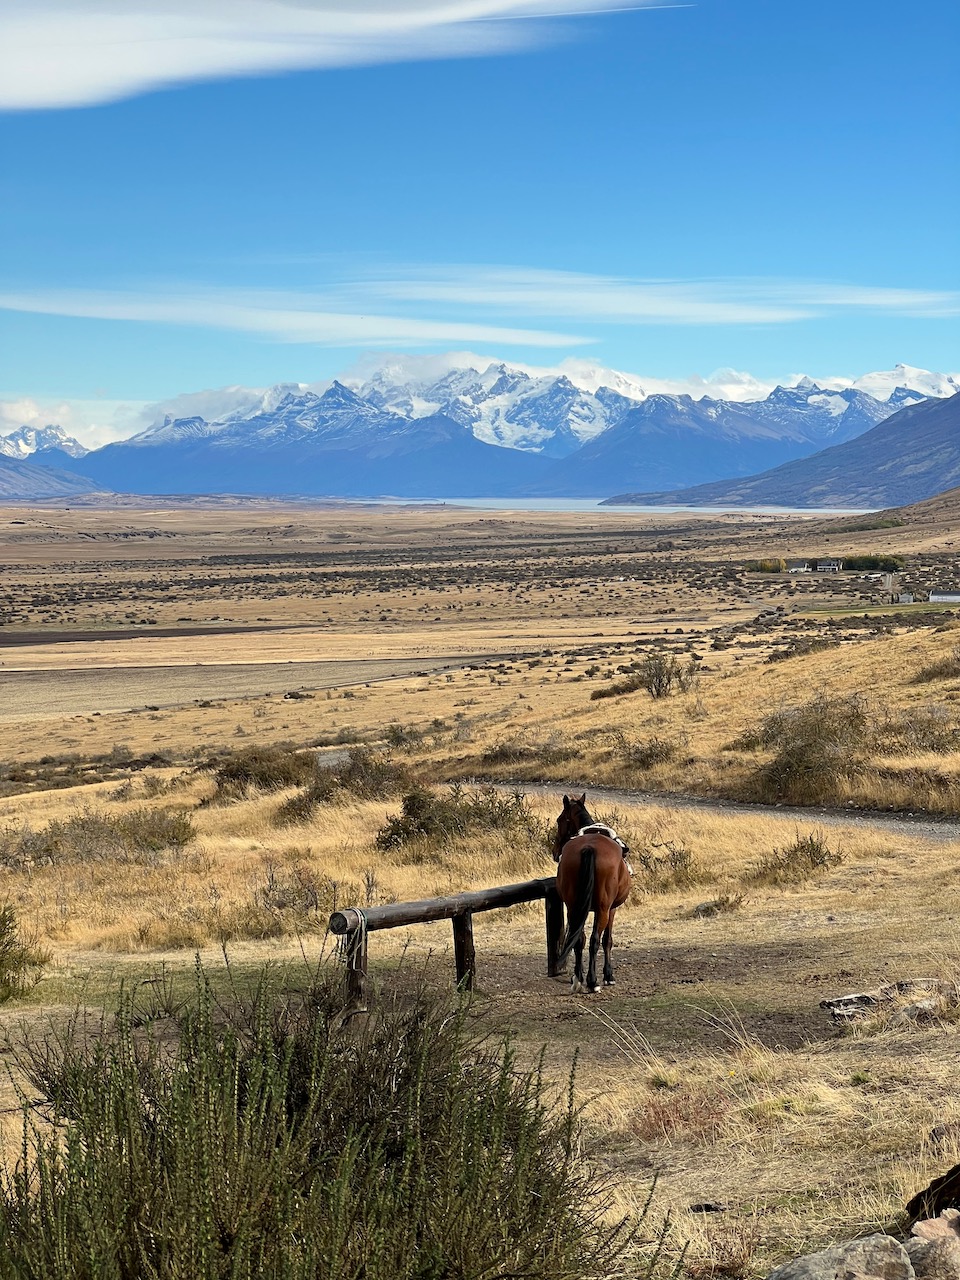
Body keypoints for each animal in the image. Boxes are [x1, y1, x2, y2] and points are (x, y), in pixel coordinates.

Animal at [552, 793, 634, 993]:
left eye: (559, 820)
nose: (555, 852)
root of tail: (589, 847)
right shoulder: (611, 909)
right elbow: (606, 940)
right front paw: (608, 976)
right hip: (603, 909)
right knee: (594, 940)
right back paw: (592, 981)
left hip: (573, 907)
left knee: (579, 939)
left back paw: (578, 980)